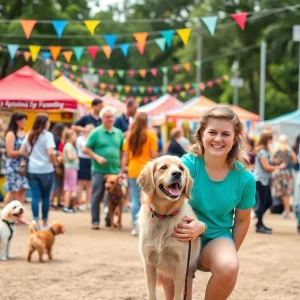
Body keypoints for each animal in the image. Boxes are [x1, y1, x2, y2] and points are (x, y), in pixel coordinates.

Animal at [137, 156, 200, 298]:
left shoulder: (181, 265)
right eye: (163, 167)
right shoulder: (148, 263)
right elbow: (151, 293)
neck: (164, 216)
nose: (177, 174)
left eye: (181, 168)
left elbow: (178, 295)